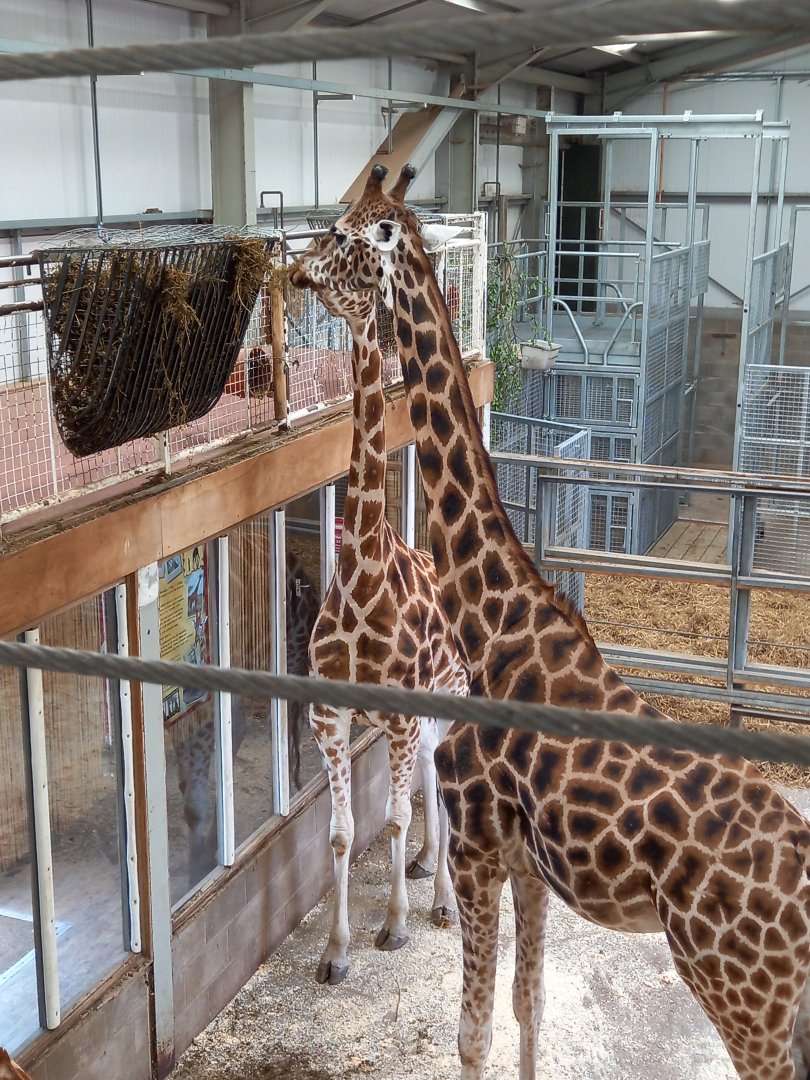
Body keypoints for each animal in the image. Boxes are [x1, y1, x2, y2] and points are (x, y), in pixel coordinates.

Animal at [290, 163, 810, 1080]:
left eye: (346, 235)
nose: (292, 273)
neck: (495, 617)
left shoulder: (480, 848)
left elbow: (474, 1033)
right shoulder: (526, 866)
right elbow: (527, 1009)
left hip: (743, 990)